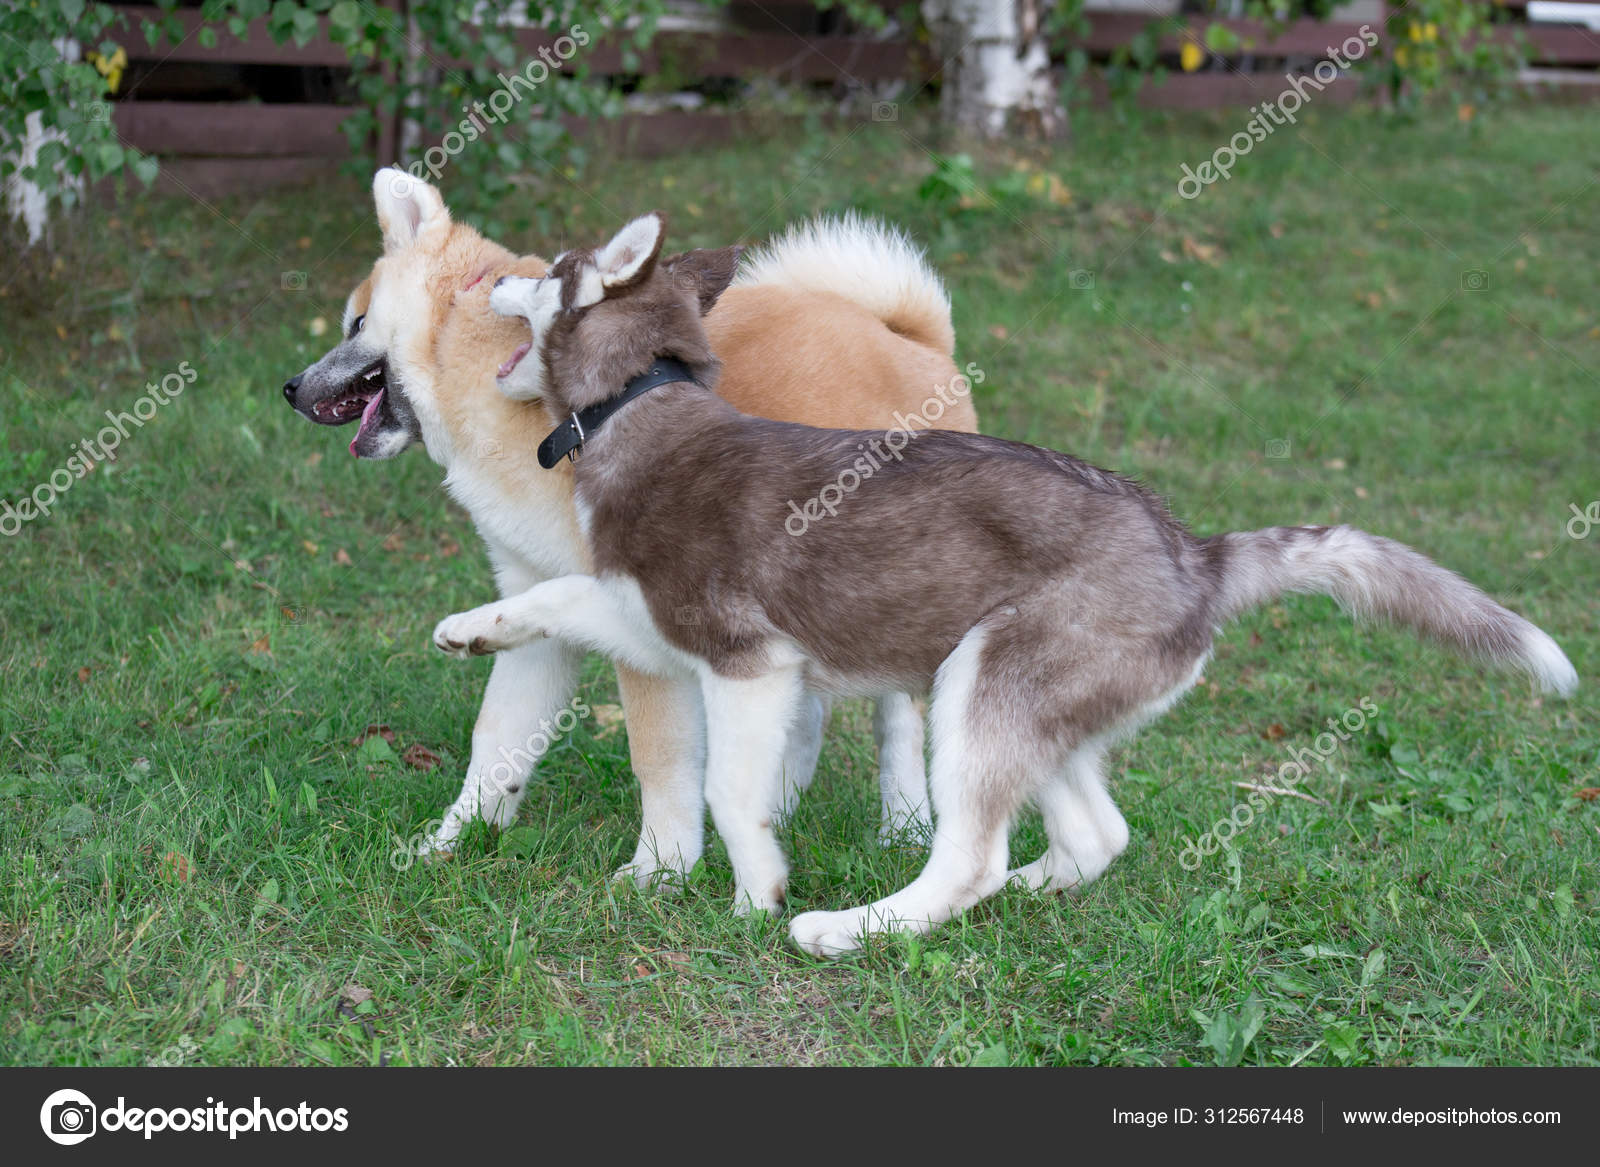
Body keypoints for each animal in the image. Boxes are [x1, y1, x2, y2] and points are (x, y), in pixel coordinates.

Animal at [280, 170, 966, 883]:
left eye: (357, 323)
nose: (291, 386)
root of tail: (909, 337)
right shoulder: (533, 607)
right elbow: (496, 741)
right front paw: (453, 840)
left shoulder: (644, 626)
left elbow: (657, 758)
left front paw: (660, 869)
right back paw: (775, 812)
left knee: (898, 721)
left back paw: (903, 825)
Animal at [438, 211, 1574, 954]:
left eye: (546, 271)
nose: (484, 286)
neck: (643, 403)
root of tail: (1197, 553)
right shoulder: (655, 618)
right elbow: (557, 599)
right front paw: (475, 626)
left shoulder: (744, 659)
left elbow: (726, 790)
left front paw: (757, 889)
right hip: (1023, 702)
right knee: (1095, 834)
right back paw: (1028, 891)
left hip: (982, 683)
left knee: (969, 856)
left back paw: (856, 927)